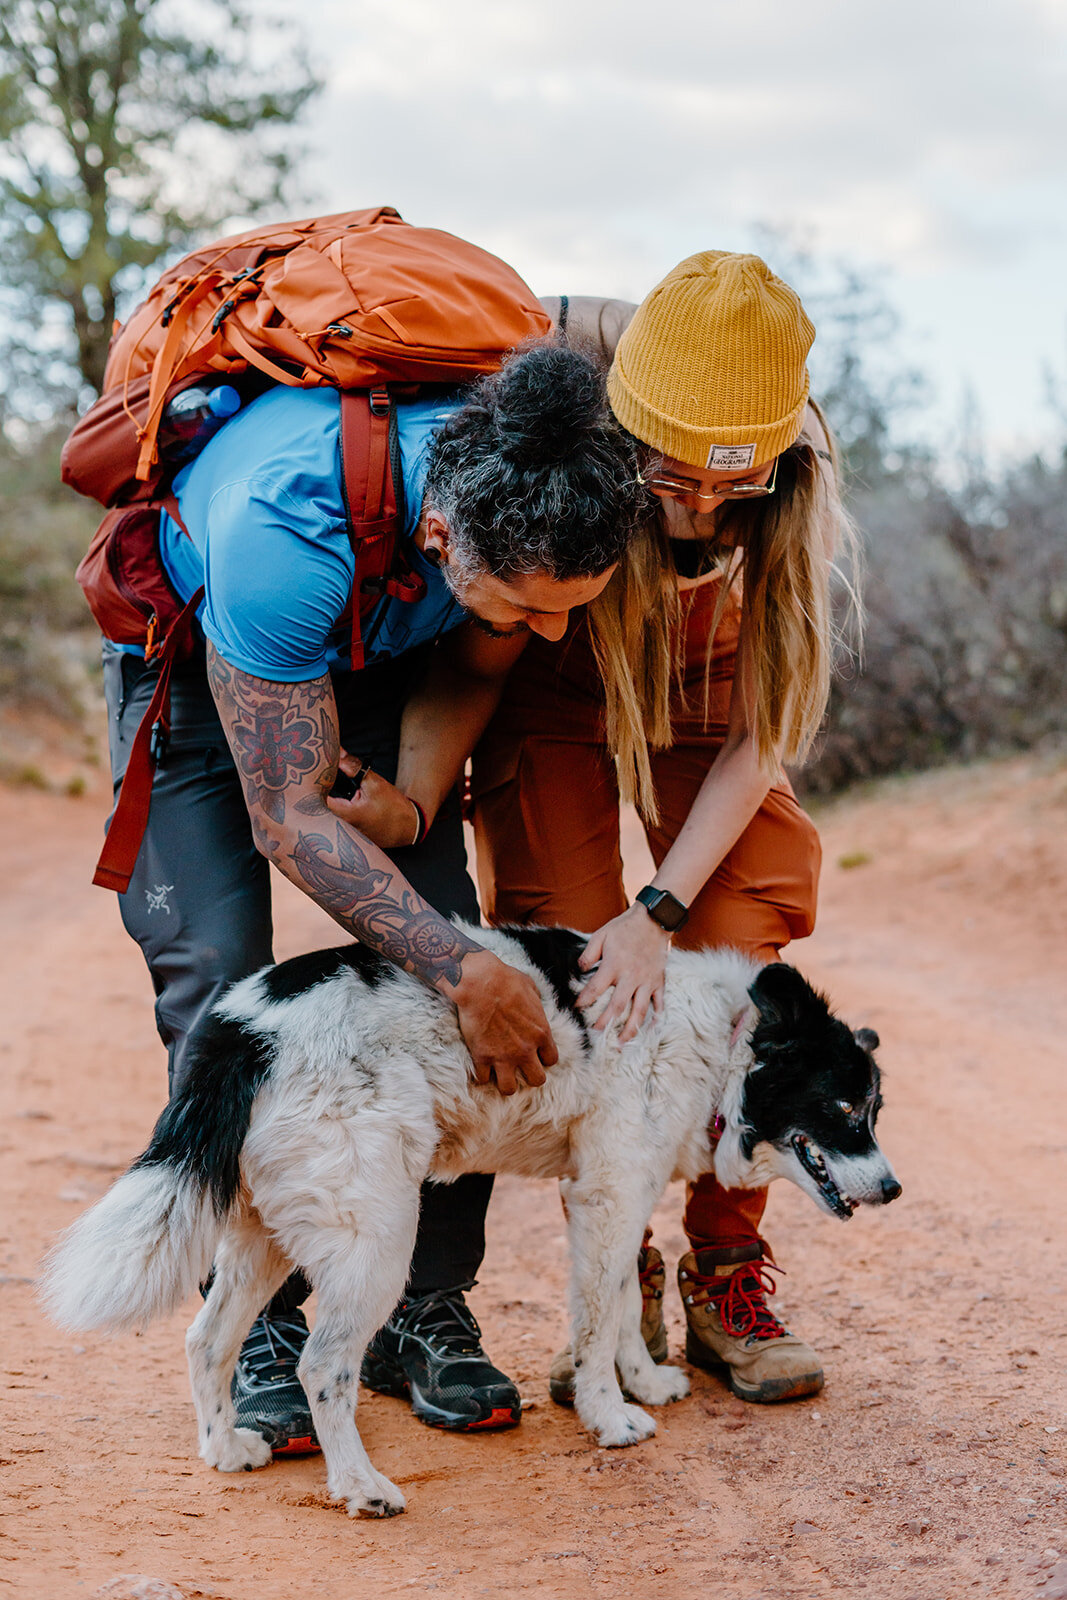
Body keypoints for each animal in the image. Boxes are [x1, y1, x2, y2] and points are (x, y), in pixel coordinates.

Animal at [47, 928, 902, 1510]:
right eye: (842, 1108)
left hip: (265, 1234)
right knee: (321, 1367)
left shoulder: (613, 1196)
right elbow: (595, 1326)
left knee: (206, 1339)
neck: (719, 1043)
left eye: (875, 1110)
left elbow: (621, 1300)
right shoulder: (605, 1195)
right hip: (377, 1235)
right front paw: (608, 1416)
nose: (892, 1189)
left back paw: (225, 1447)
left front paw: (644, 1382)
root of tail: (244, 1027)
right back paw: (359, 1486)